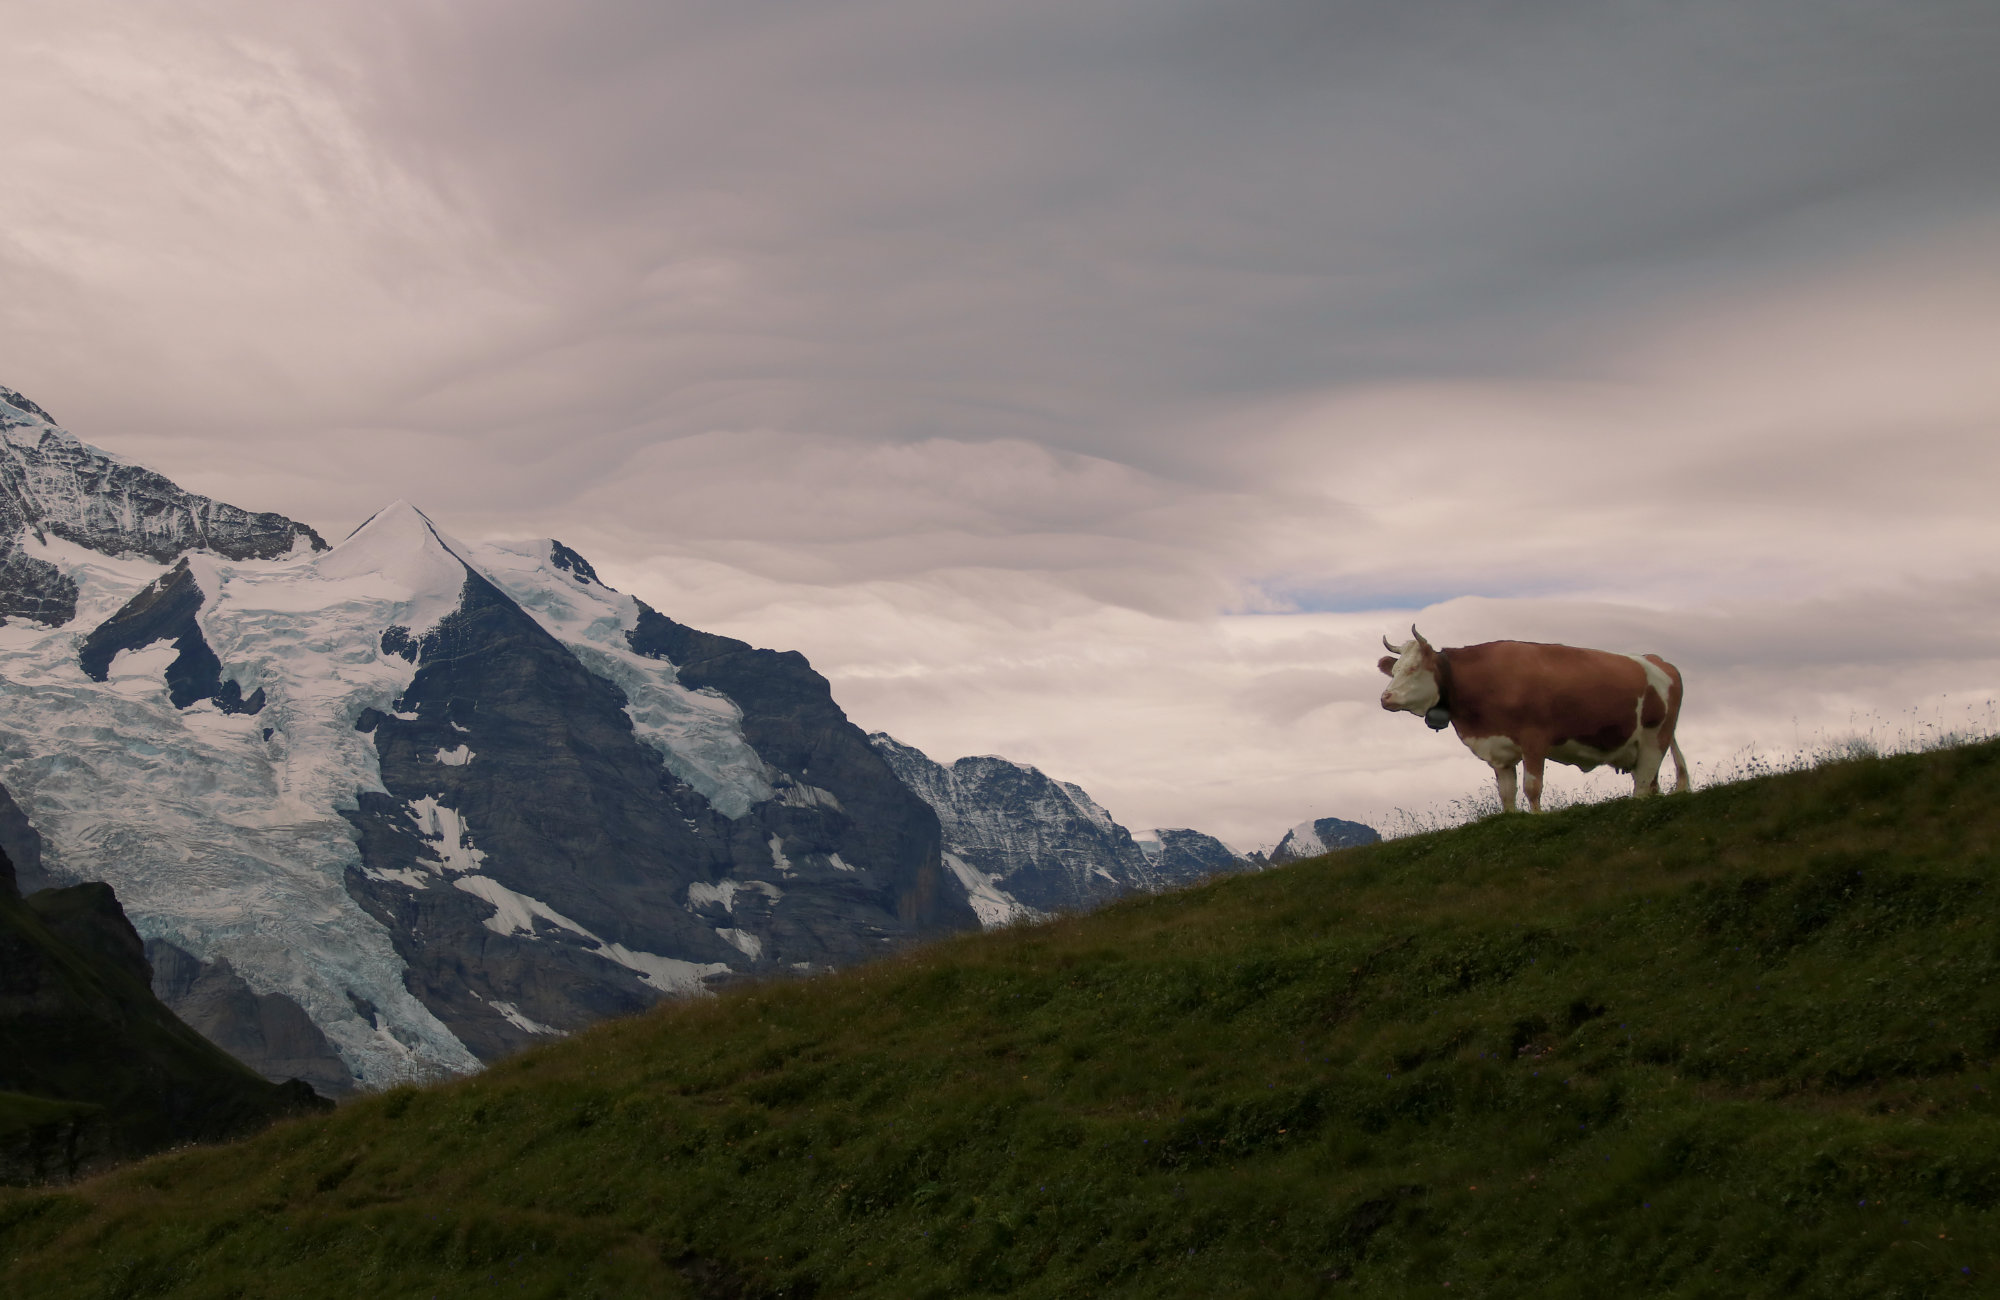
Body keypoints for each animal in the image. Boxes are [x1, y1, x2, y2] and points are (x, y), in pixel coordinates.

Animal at [1376, 624, 1688, 808]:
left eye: (1413, 668)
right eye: (1394, 670)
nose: (1385, 698)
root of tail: (1658, 661)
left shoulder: (1535, 741)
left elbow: (1532, 788)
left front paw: (1537, 816)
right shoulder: (1498, 749)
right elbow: (1506, 794)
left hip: (1654, 740)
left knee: (1643, 783)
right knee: (1651, 783)